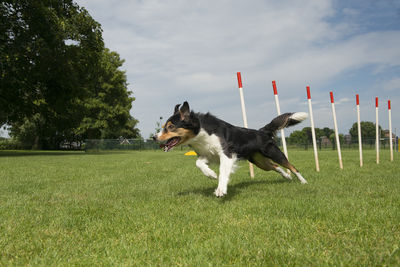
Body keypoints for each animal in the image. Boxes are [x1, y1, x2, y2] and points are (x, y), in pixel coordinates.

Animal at [155, 101, 308, 198]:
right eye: (164, 126)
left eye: (170, 127)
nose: (154, 137)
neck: (201, 132)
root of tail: (261, 131)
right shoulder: (207, 155)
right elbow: (198, 164)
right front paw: (211, 174)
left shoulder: (226, 154)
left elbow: (223, 172)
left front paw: (220, 190)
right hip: (259, 161)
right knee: (276, 167)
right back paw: (287, 176)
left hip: (273, 152)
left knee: (292, 166)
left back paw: (303, 181)